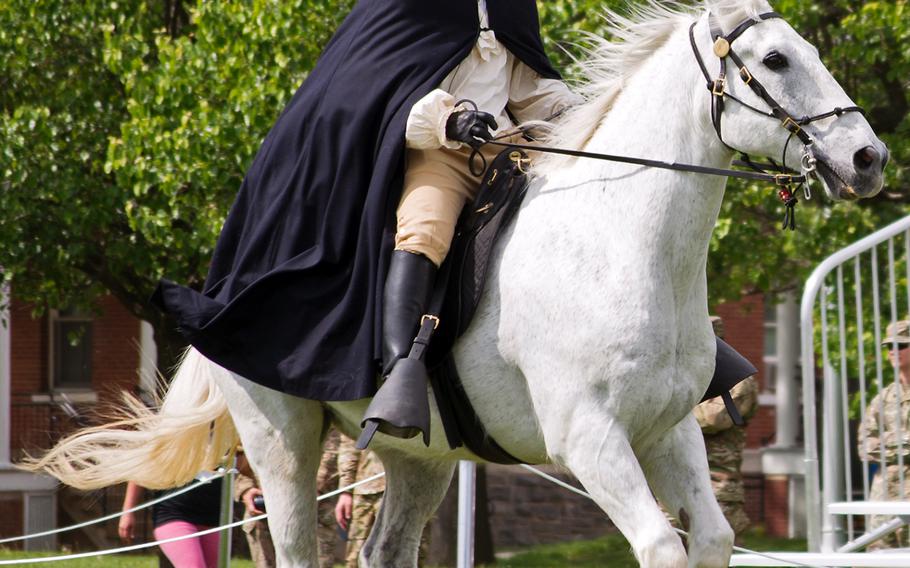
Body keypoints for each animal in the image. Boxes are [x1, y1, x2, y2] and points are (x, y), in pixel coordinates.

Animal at [28, 2, 884, 564]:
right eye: (774, 61)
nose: (868, 158)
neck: (619, 242)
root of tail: (224, 286)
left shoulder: (667, 432)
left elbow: (710, 540)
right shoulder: (591, 438)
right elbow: (659, 546)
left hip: (419, 457)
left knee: (385, 549)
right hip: (283, 446)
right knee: (300, 546)